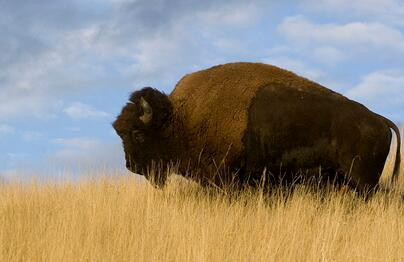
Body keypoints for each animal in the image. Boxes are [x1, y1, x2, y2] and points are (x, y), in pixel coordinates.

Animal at [113, 61, 400, 192]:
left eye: (137, 133)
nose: (130, 166)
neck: (180, 119)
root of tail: (380, 119)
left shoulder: (225, 178)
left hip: (362, 182)